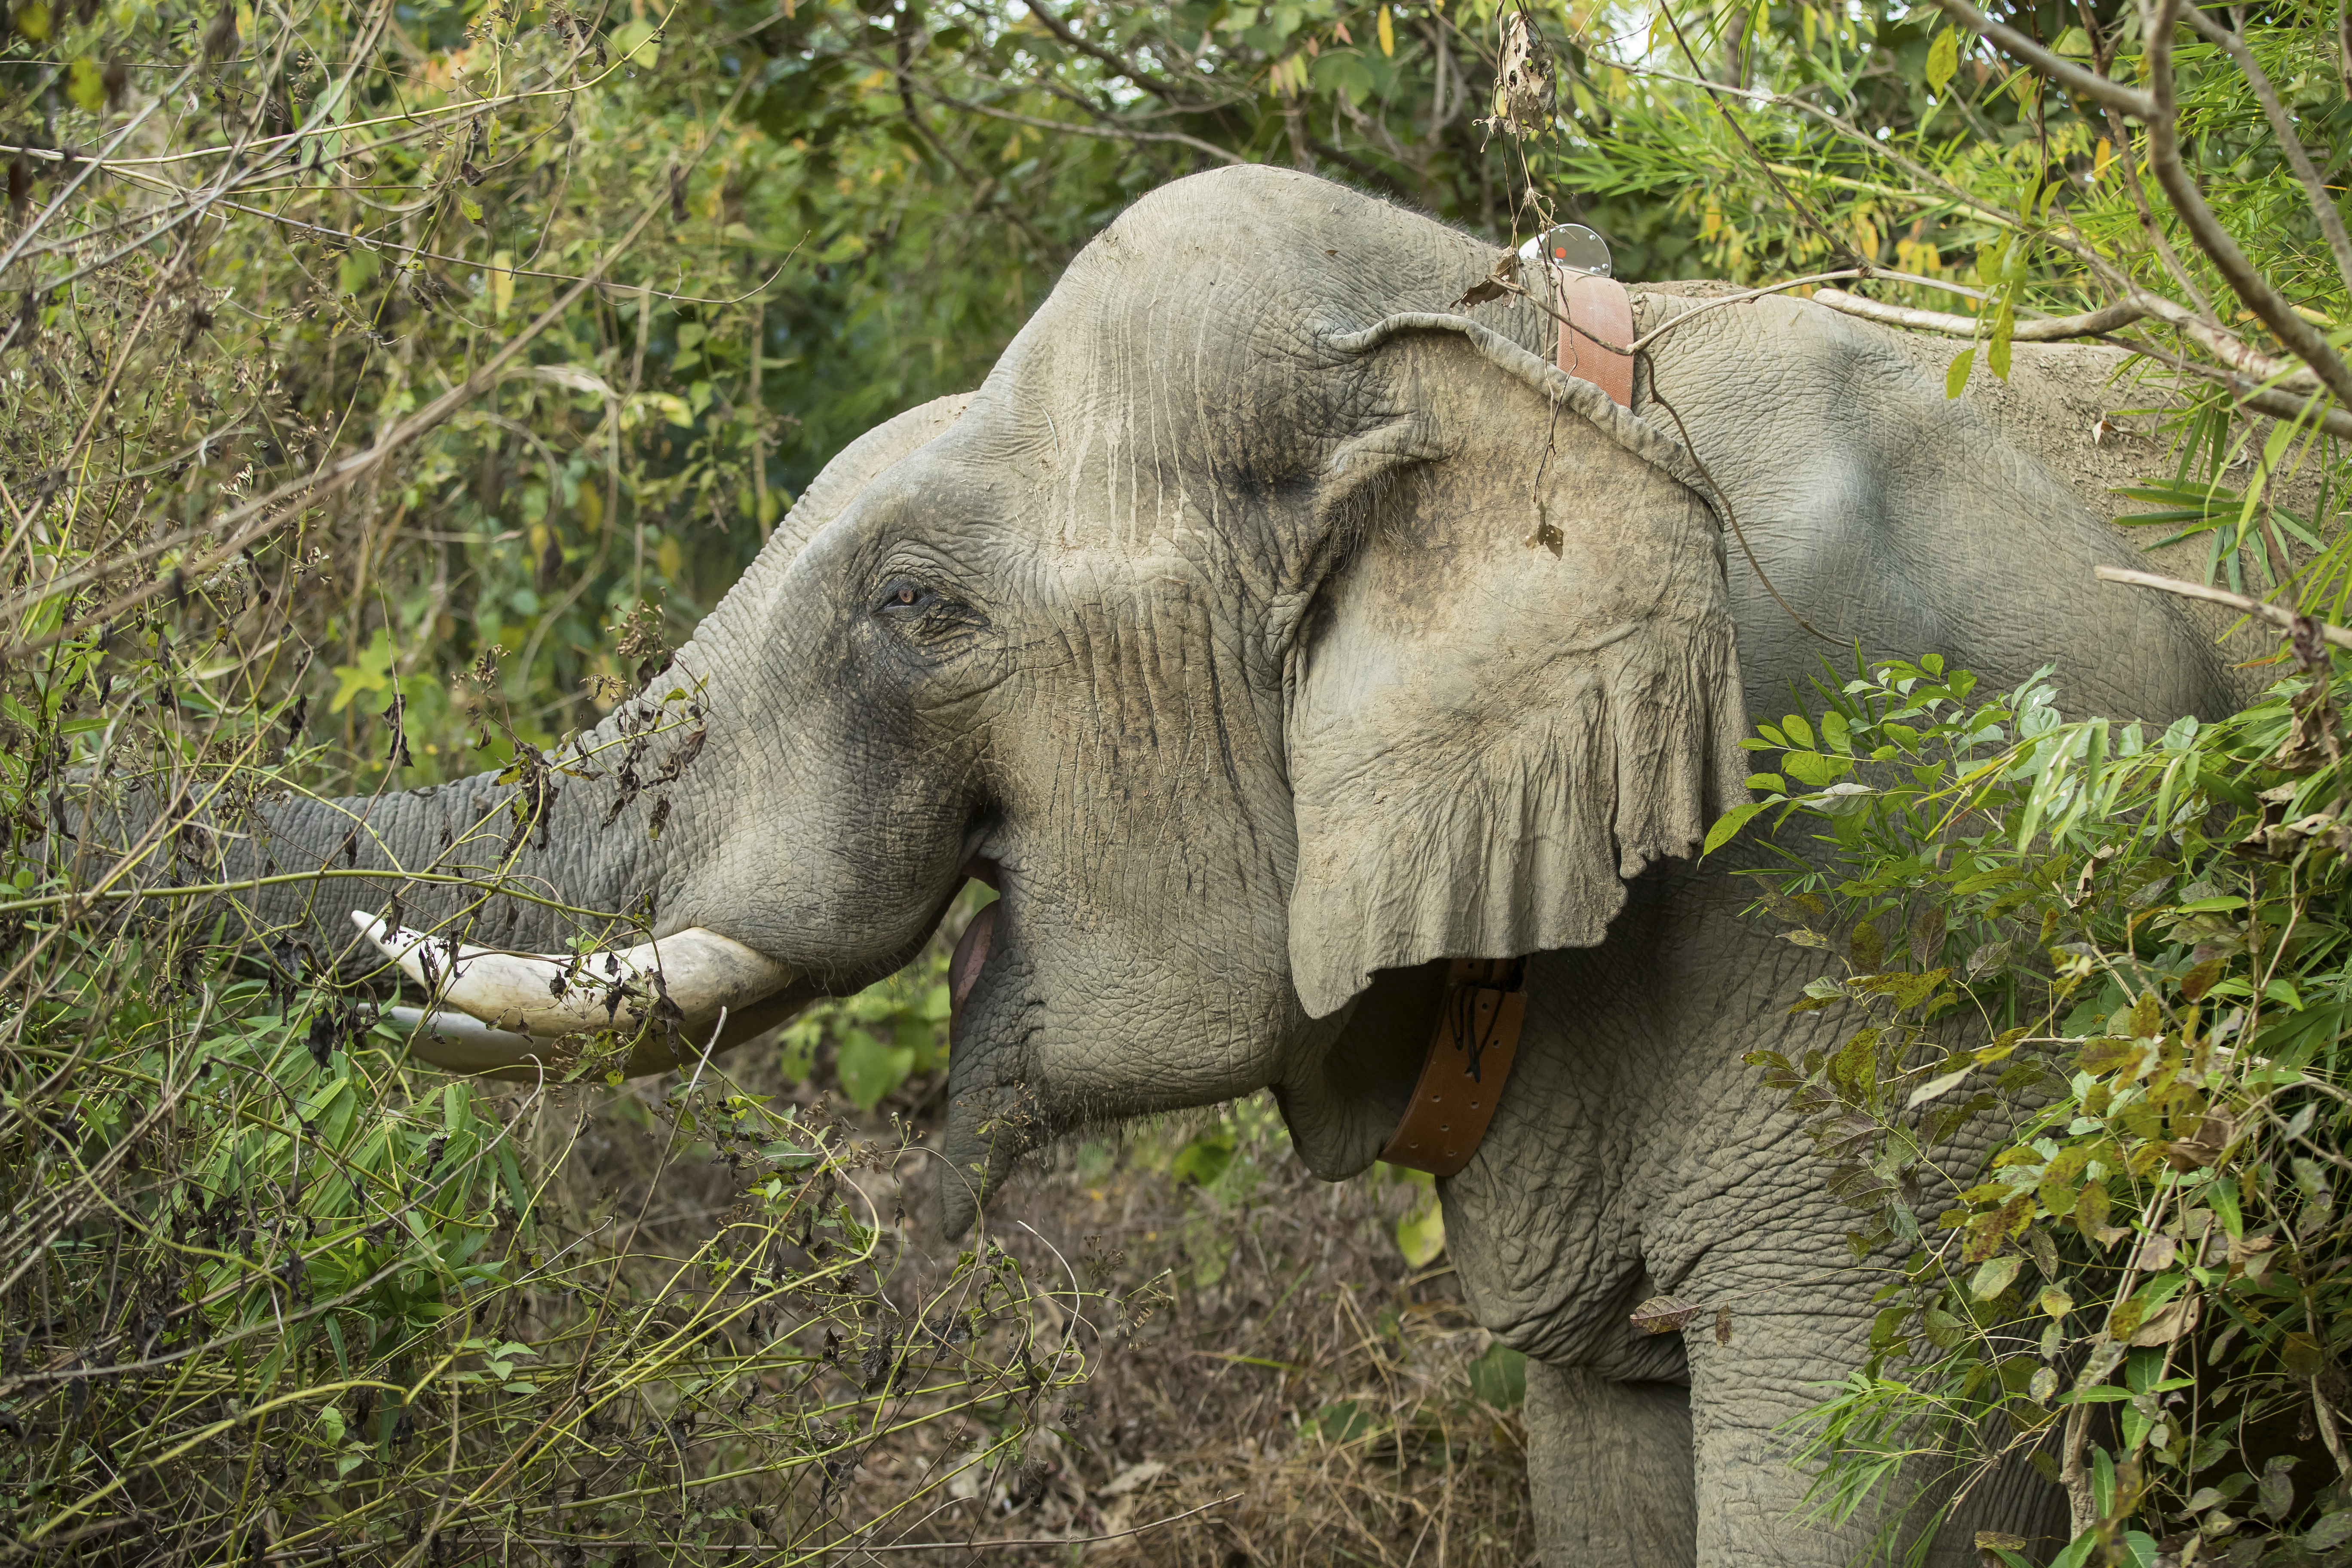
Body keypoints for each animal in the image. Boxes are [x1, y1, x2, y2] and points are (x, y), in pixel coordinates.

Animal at [73, 164, 2264, 1565]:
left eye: (918, 610)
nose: (90, 762)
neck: (1514, 344)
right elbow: (1608, 1460)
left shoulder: (1918, 886)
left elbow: (1873, 1447)